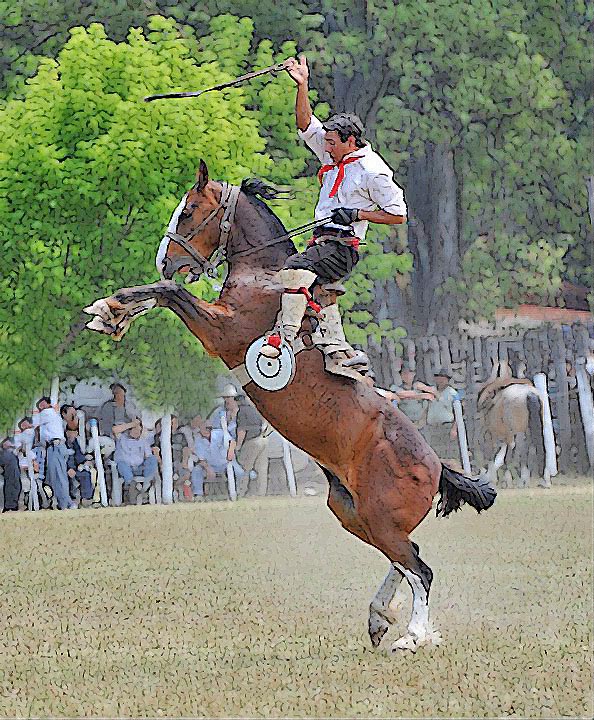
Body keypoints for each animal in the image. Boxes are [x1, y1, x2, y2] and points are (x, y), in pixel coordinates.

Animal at [83, 163, 492, 652]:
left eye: (189, 211)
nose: (166, 258)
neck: (264, 273)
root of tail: (436, 464)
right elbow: (164, 293)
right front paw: (111, 312)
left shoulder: (222, 329)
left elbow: (170, 292)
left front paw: (113, 307)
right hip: (353, 512)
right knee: (405, 559)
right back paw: (378, 617)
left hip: (378, 517)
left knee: (420, 570)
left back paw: (411, 635)